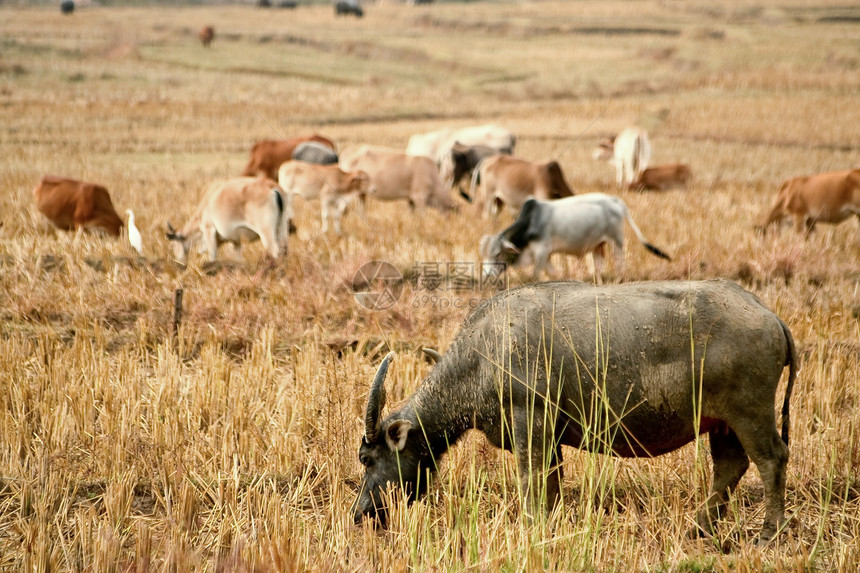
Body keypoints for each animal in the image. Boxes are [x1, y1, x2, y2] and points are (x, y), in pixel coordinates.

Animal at [352, 280, 796, 544]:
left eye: (367, 458)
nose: (360, 513)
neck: (483, 354)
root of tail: (768, 315)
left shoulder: (529, 424)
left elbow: (531, 480)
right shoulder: (549, 439)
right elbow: (551, 483)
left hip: (750, 415)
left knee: (771, 459)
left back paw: (768, 533)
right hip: (723, 425)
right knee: (730, 467)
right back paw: (699, 529)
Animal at [478, 193, 672, 280]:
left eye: (497, 253)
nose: (486, 275)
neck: (531, 223)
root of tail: (616, 200)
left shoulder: (542, 253)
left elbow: (535, 275)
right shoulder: (545, 256)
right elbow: (553, 273)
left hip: (616, 241)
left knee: (619, 261)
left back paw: (619, 277)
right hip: (598, 246)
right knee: (599, 265)